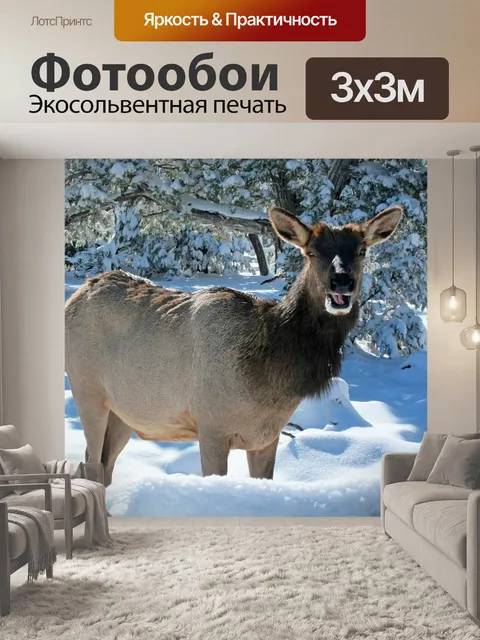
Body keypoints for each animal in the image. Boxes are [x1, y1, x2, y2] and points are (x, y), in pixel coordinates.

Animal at [65, 205, 403, 486]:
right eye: (312, 252)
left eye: (361, 250)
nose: (341, 282)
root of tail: (75, 297)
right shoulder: (211, 427)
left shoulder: (266, 438)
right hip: (87, 391)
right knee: (91, 461)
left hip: (124, 412)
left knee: (105, 463)